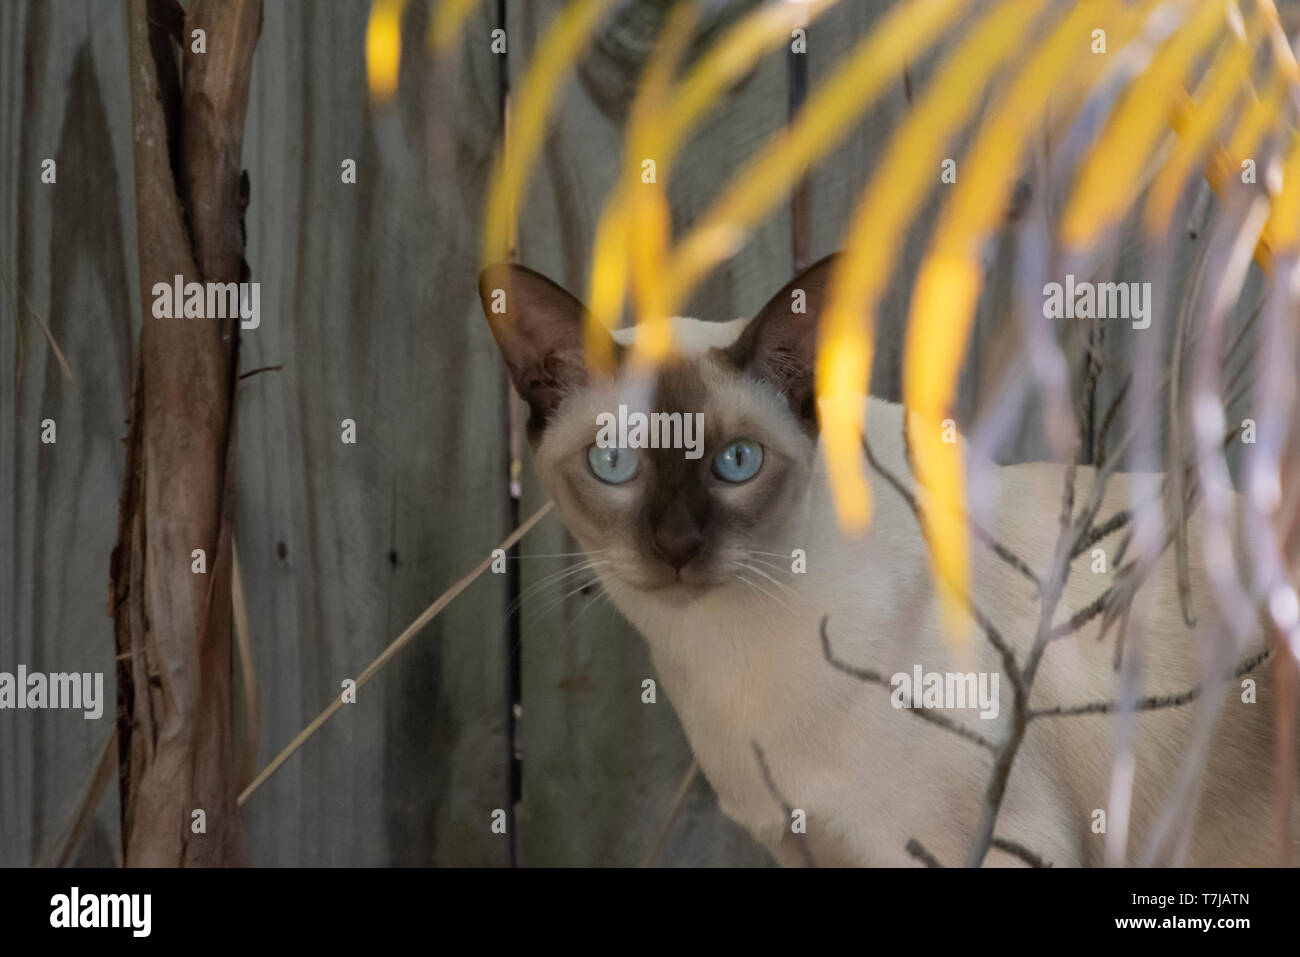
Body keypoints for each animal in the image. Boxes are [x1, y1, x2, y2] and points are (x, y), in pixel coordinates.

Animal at [480, 254, 1300, 868]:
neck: (725, 661)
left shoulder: (987, 845)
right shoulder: (810, 850)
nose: (677, 547)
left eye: (737, 463)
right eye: (614, 464)